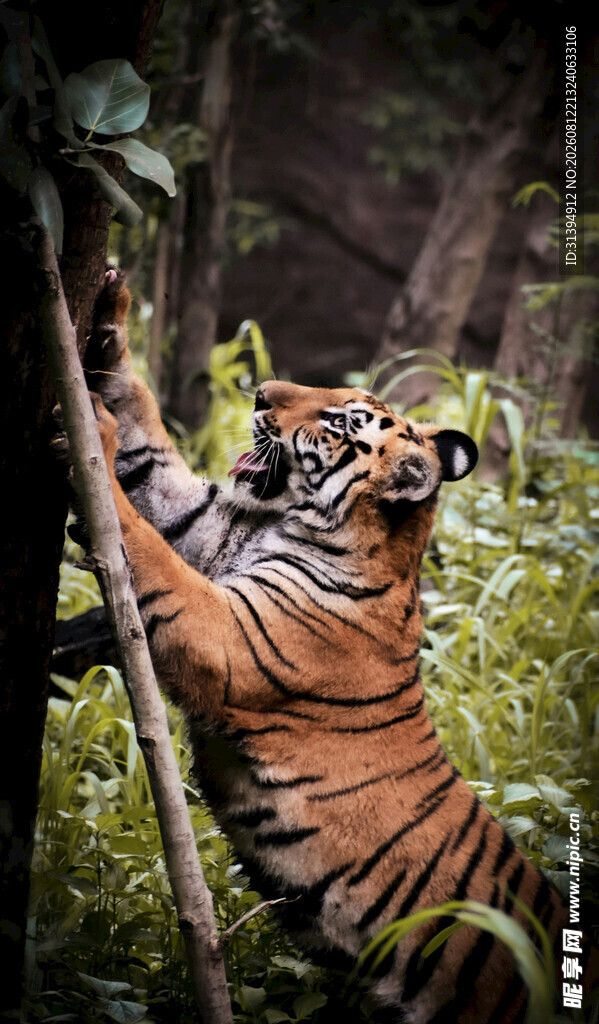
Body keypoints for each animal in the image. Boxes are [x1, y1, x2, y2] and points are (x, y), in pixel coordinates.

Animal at [79, 269, 572, 1024]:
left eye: (340, 422)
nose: (260, 392)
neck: (289, 524)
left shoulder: (226, 634)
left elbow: (140, 541)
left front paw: (90, 435)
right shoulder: (204, 527)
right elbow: (148, 451)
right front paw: (109, 318)